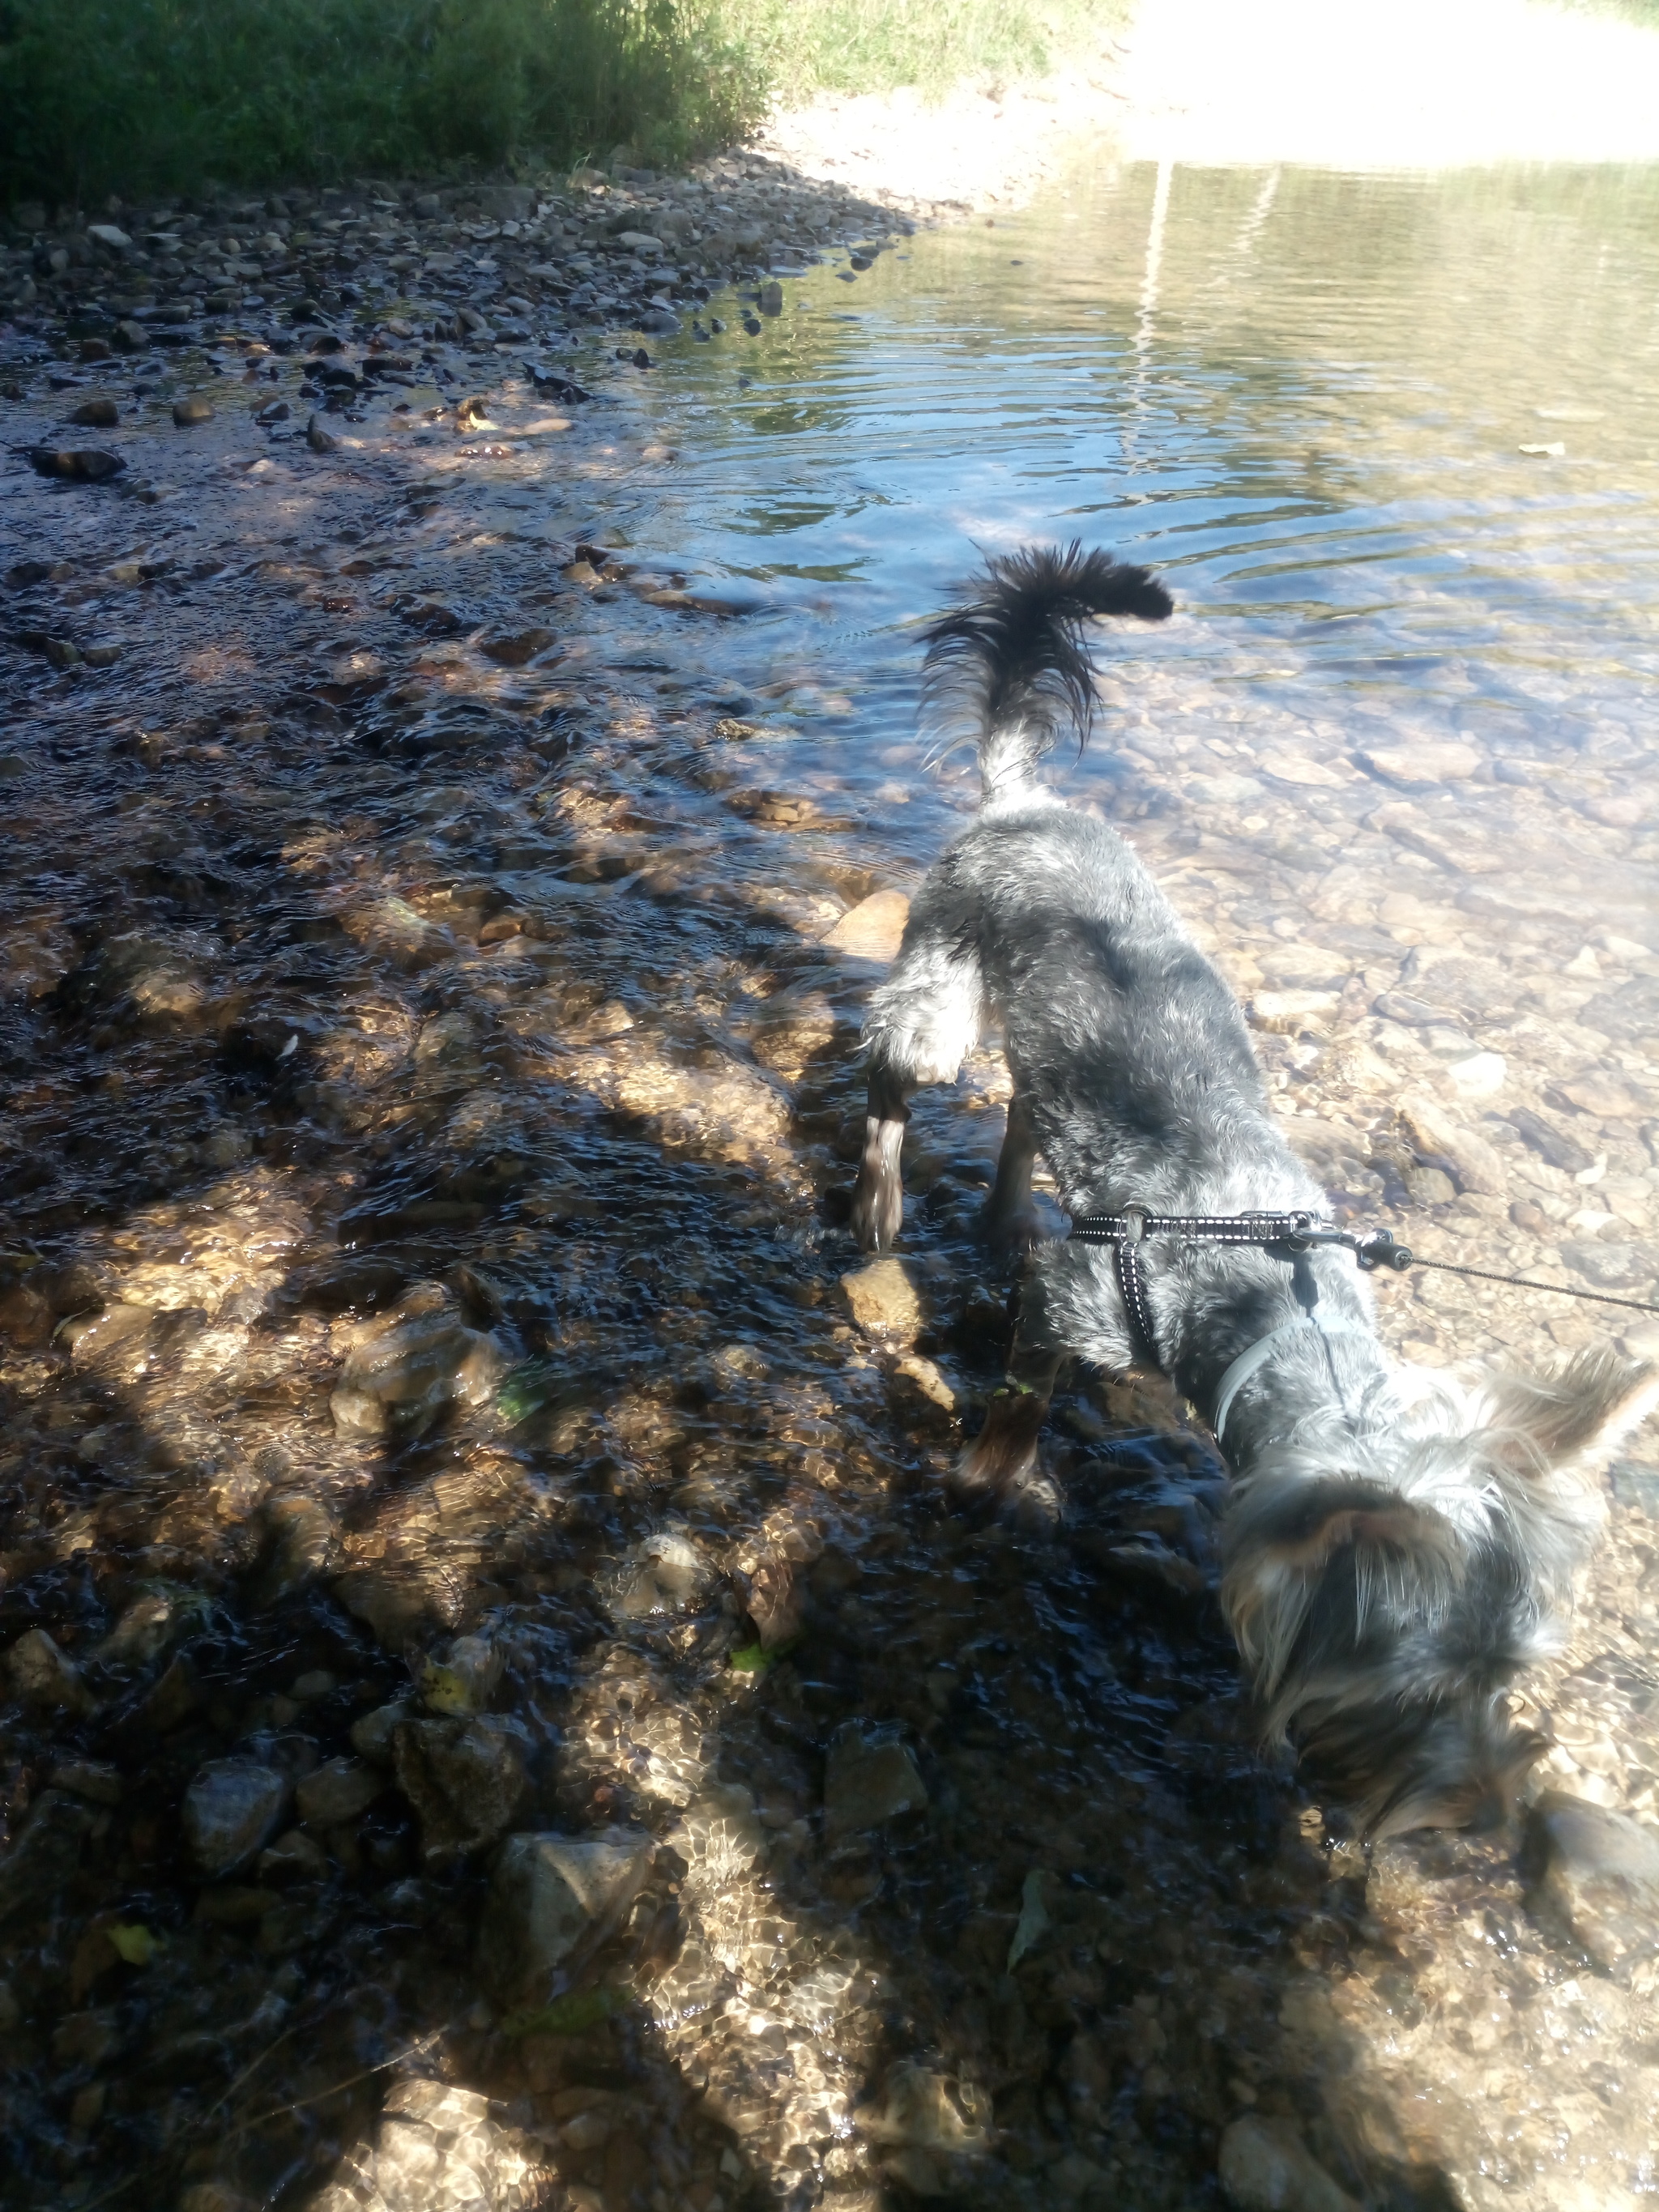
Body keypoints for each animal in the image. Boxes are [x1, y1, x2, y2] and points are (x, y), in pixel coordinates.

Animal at [849, 543, 1654, 1840]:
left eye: (1511, 1678)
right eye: (1408, 1694)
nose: (1486, 1815)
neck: (1269, 1299)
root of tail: (1024, 800)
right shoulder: (1077, 1294)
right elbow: (1017, 1408)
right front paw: (988, 1485)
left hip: (1036, 1035)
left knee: (1025, 1105)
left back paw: (1004, 1207)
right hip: (946, 979)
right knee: (890, 1066)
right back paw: (876, 1195)